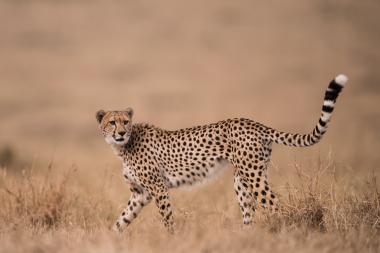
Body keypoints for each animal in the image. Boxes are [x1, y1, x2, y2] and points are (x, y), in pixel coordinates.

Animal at [94, 74, 348, 232]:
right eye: (112, 122)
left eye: (125, 121)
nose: (121, 132)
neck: (123, 147)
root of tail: (255, 123)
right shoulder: (140, 193)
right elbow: (122, 219)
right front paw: (108, 237)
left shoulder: (158, 189)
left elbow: (166, 220)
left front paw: (170, 239)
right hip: (243, 178)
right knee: (249, 211)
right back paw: (246, 237)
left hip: (253, 176)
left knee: (275, 206)